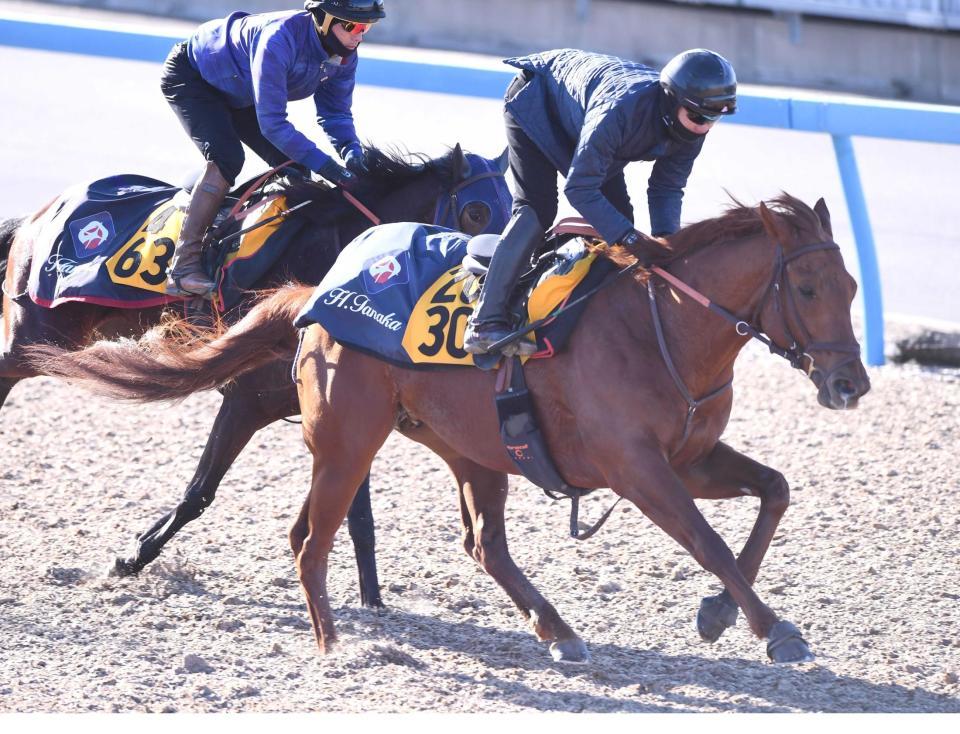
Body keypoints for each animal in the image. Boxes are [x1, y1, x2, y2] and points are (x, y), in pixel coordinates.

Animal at [0, 145, 510, 606]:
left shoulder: (343, 407)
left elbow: (355, 513)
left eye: (512, 210)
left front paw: (373, 599)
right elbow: (200, 492)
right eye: (477, 210)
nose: (496, 281)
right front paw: (132, 557)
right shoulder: (247, 400)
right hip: (37, 334)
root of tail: (41, 213)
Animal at [26, 194, 871, 664]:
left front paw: (721, 612)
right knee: (312, 539)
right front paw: (773, 629)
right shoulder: (639, 470)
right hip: (350, 439)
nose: (850, 384)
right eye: (805, 287)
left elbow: (774, 491)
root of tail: (320, 291)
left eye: (854, 285)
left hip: (473, 449)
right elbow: (709, 541)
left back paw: (556, 630)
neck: (658, 325)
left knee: (480, 544)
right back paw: (335, 646)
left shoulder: (690, 456)